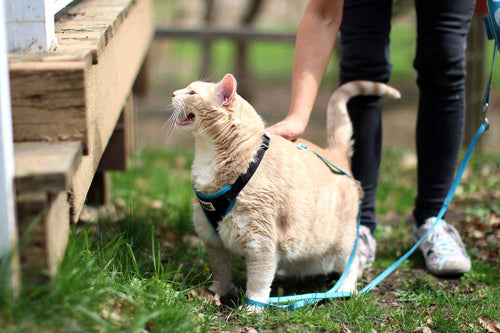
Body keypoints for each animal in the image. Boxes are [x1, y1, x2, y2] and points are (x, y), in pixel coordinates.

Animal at [170, 74, 400, 308]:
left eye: (192, 92)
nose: (172, 93)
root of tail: (334, 153)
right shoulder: (212, 239)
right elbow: (221, 271)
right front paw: (219, 292)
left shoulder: (260, 241)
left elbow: (259, 281)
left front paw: (253, 307)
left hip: (342, 243)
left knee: (351, 265)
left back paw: (345, 288)